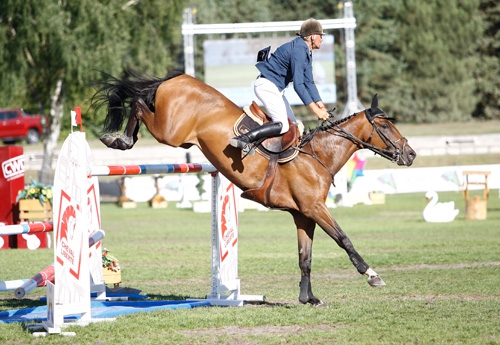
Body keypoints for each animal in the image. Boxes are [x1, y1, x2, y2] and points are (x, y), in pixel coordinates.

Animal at [92, 69, 416, 304]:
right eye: (385, 127)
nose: (411, 154)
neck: (317, 157)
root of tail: (179, 77)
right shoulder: (315, 208)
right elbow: (344, 239)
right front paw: (372, 274)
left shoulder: (303, 214)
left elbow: (305, 257)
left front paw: (308, 298)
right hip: (169, 132)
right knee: (137, 104)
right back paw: (119, 139)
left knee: (139, 102)